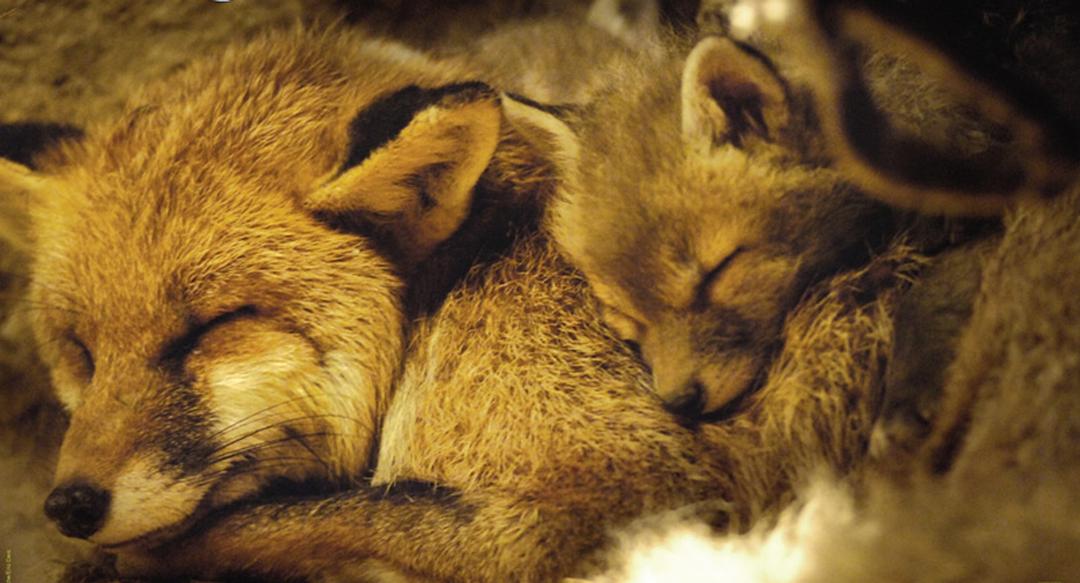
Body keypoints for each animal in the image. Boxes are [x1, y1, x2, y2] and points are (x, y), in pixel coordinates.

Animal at [0, 23, 914, 582]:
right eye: (81, 353)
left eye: (214, 329)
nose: (70, 504)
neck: (447, 299)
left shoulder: (613, 501)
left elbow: (306, 518)